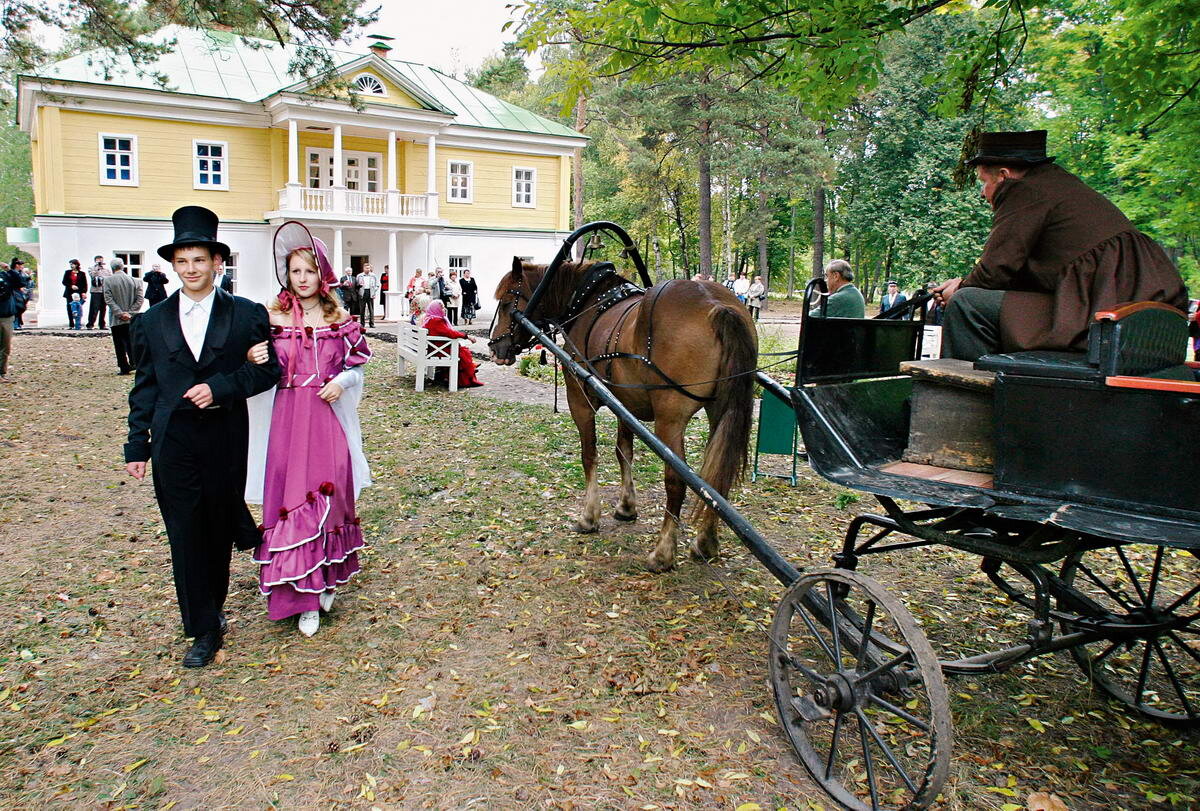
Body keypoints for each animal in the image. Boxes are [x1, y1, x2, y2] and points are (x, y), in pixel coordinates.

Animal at [489, 257, 753, 571]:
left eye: (507, 302)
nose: (495, 347)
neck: (585, 301)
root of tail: (717, 305)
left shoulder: (580, 398)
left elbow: (589, 455)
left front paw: (589, 517)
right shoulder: (625, 402)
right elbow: (623, 451)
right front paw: (627, 507)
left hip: (670, 419)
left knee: (677, 480)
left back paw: (663, 553)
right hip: (719, 410)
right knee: (714, 478)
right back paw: (705, 542)